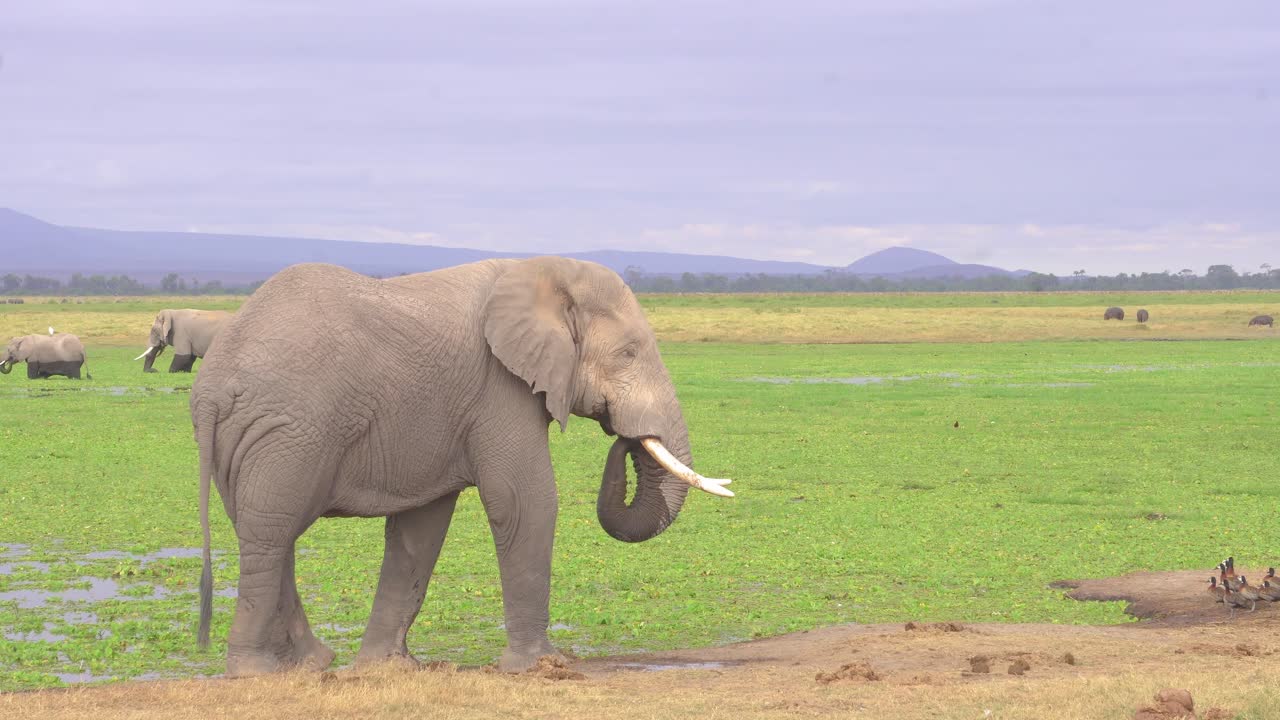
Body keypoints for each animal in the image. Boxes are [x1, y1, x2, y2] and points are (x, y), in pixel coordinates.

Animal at [190, 258, 734, 677]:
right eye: (628, 353)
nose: (622, 437)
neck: (541, 271)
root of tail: (213, 385)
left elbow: (421, 529)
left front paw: (391, 669)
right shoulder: (500, 388)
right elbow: (524, 501)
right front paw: (540, 667)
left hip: (248, 441)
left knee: (265, 532)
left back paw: (311, 664)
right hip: (288, 431)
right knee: (272, 533)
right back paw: (256, 673)